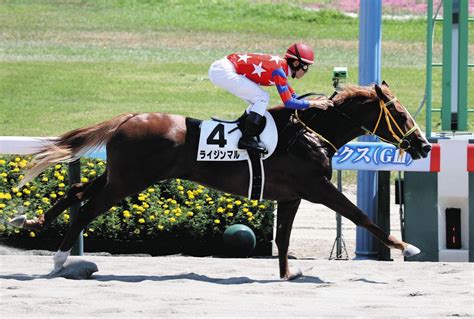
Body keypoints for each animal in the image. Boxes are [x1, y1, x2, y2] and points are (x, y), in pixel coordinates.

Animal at [12, 82, 432, 280]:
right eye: (399, 114)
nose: (424, 145)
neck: (310, 133)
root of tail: (128, 118)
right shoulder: (318, 188)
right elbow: (363, 217)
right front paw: (406, 246)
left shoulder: (293, 195)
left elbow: (283, 239)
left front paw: (287, 274)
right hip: (128, 182)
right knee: (87, 209)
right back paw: (59, 258)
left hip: (121, 175)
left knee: (76, 190)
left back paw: (30, 220)